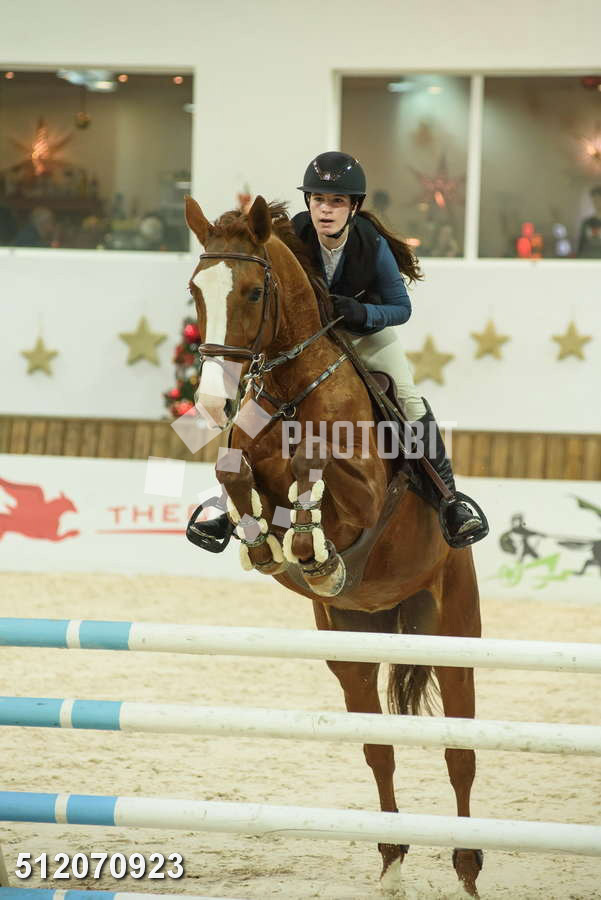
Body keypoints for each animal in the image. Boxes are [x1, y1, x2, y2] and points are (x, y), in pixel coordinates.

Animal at [185, 195, 483, 897]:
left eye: (254, 291)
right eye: (196, 291)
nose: (210, 399)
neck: (292, 386)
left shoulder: (368, 494)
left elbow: (316, 463)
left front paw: (305, 535)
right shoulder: (248, 453)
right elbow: (236, 466)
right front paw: (267, 542)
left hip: (454, 628)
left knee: (460, 753)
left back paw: (466, 866)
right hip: (350, 642)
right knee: (379, 749)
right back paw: (393, 859)